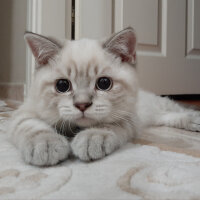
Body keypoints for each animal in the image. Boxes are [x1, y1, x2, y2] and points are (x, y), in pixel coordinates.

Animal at [8, 27, 200, 166]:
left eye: (104, 83)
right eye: (62, 86)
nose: (82, 105)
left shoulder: (128, 117)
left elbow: (106, 125)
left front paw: (91, 139)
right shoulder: (26, 111)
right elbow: (33, 127)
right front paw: (46, 144)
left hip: (158, 105)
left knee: (177, 109)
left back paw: (194, 120)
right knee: (164, 117)